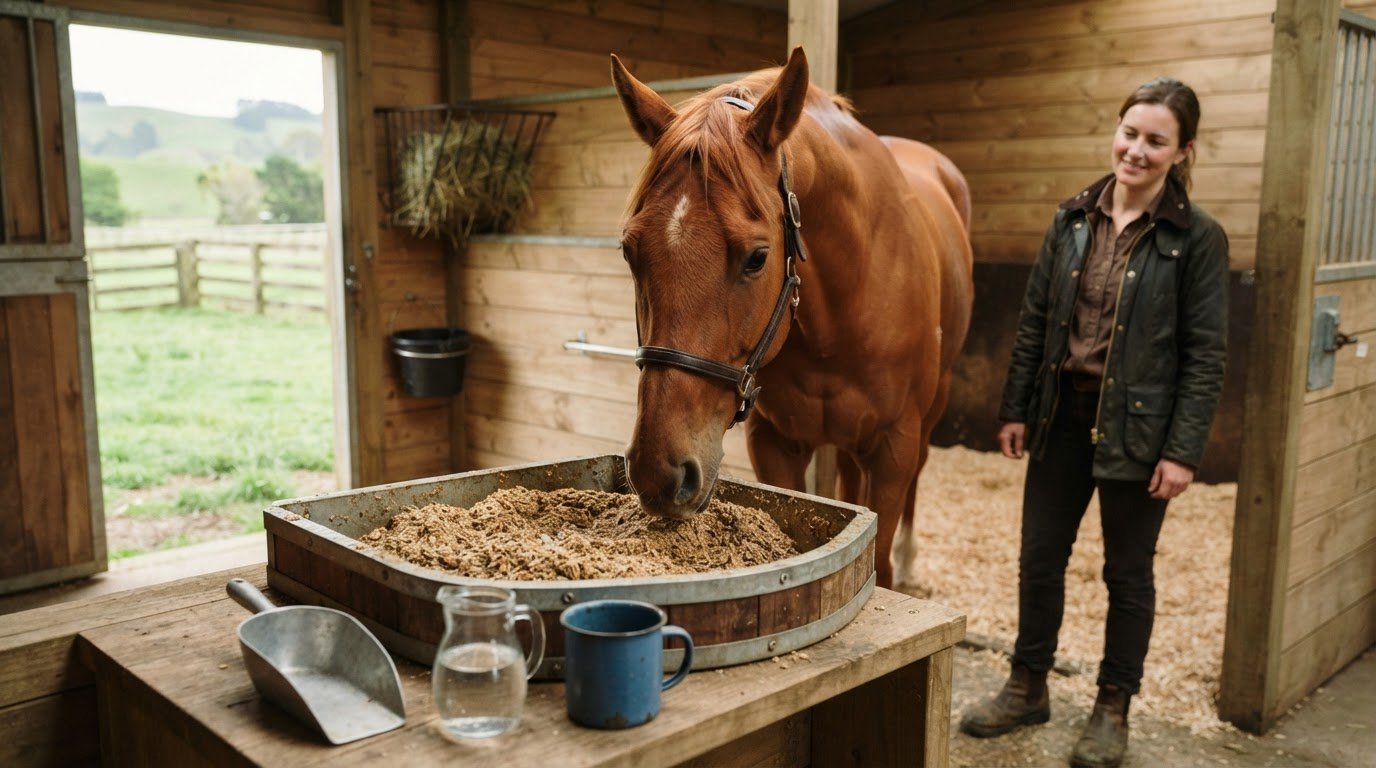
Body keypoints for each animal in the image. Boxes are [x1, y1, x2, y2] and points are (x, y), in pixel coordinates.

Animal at [612, 48, 974, 592]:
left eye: (757, 257)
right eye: (630, 251)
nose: (659, 471)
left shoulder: (894, 448)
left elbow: (881, 560)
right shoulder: (776, 444)